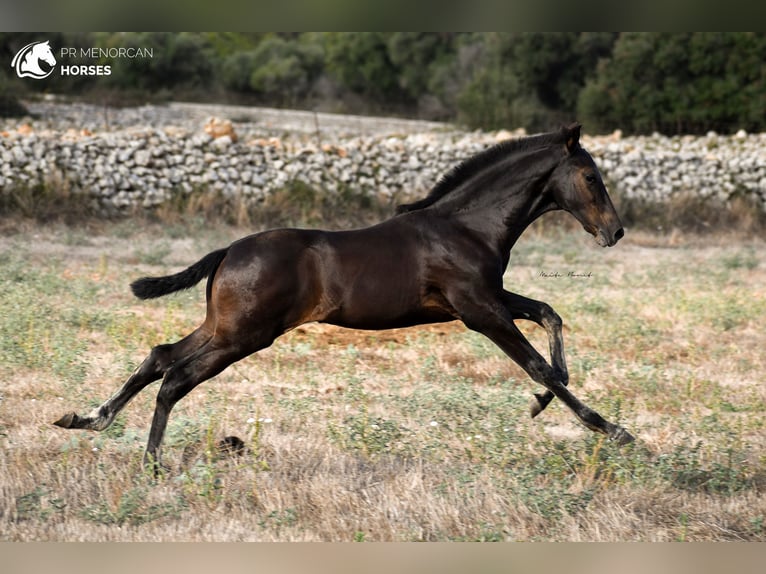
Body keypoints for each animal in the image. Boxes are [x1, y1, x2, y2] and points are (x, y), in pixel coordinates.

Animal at [54, 124, 636, 474]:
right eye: (590, 176)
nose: (615, 232)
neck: (468, 226)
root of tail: (227, 251)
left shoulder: (485, 300)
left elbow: (549, 317)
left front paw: (545, 400)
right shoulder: (478, 310)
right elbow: (535, 362)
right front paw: (611, 428)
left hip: (224, 327)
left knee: (160, 357)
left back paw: (89, 420)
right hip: (244, 335)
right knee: (175, 377)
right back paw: (150, 463)